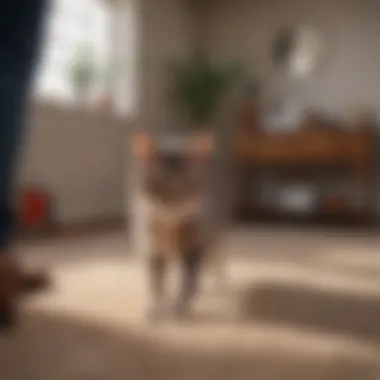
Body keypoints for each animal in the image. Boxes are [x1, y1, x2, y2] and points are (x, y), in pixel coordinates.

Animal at [133, 132, 226, 320]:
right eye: (156, 186)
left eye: (187, 187)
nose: (170, 206)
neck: (171, 227)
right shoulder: (153, 249)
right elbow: (156, 283)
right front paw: (155, 308)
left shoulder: (193, 249)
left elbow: (187, 282)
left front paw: (180, 307)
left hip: (215, 237)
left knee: (216, 261)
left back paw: (217, 283)